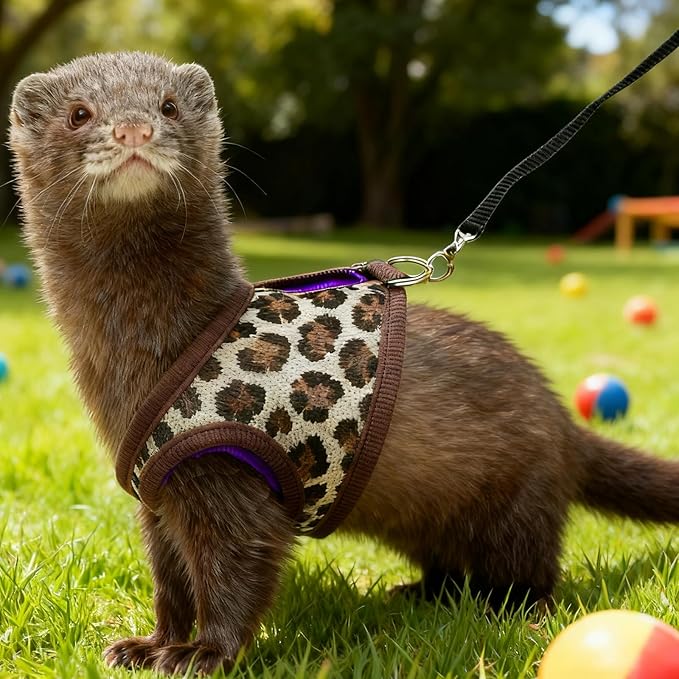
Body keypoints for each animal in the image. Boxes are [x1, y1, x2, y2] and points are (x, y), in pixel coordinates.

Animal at [9, 51, 679, 675]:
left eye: (169, 106)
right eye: (79, 113)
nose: (134, 129)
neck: (138, 363)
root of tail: (562, 419)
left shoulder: (230, 481)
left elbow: (234, 574)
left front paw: (201, 654)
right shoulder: (157, 488)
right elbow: (170, 583)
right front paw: (145, 646)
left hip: (516, 502)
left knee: (531, 570)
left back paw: (510, 609)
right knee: (450, 567)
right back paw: (414, 594)